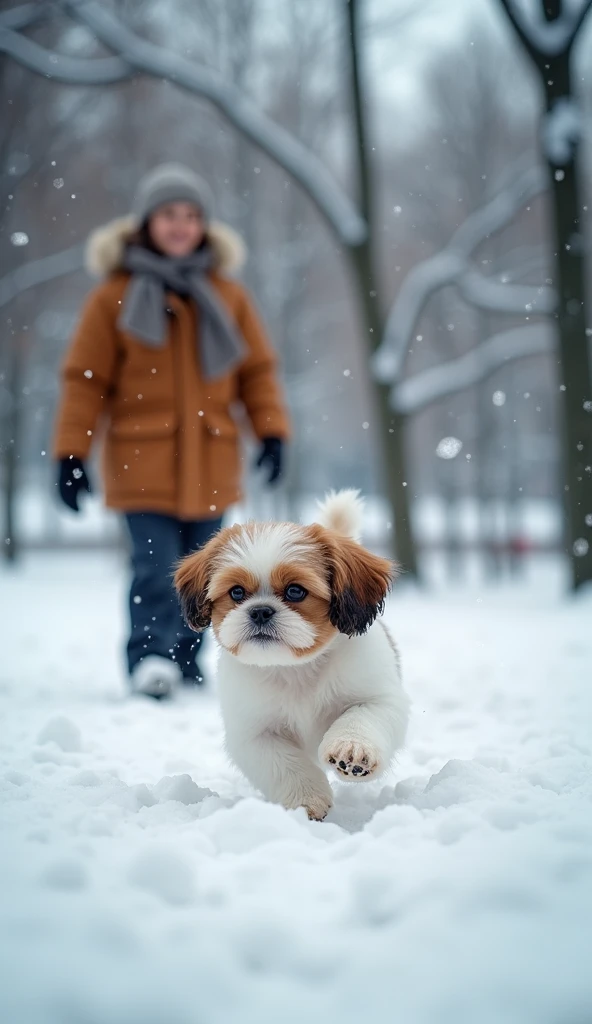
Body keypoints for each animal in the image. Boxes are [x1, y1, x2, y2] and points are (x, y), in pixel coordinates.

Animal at [173, 491, 407, 819]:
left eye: (296, 591)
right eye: (236, 592)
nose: (260, 611)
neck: (295, 669)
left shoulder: (378, 697)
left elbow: (362, 717)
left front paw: (351, 749)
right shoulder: (254, 732)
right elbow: (283, 764)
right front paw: (307, 798)